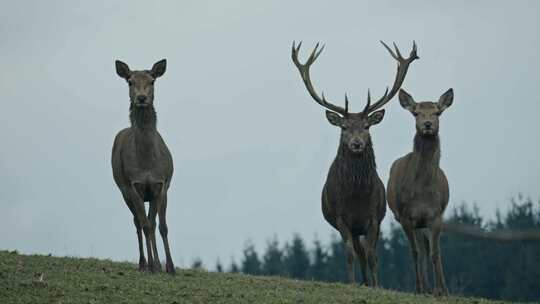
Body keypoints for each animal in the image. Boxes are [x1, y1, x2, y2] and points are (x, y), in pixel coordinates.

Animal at [111, 59, 175, 276]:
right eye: (130, 81)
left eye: (152, 81)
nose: (141, 98)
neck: (147, 163)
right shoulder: (134, 185)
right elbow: (145, 225)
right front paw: (152, 266)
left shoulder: (161, 185)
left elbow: (161, 226)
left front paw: (170, 267)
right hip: (123, 190)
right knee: (138, 223)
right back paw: (143, 263)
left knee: (150, 222)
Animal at [294, 41, 420, 286]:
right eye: (344, 127)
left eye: (366, 126)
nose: (356, 144)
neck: (356, 196)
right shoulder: (342, 219)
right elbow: (350, 254)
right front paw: (352, 283)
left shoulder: (373, 218)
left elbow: (372, 255)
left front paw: (377, 286)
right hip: (351, 229)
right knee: (358, 252)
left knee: (368, 253)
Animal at [386, 88, 454, 294]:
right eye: (416, 113)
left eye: (437, 112)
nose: (427, 125)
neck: (422, 193)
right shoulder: (406, 217)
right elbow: (415, 252)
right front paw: (419, 288)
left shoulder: (436, 216)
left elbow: (435, 252)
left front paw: (443, 290)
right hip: (413, 222)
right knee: (420, 250)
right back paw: (425, 287)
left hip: (423, 224)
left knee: (426, 249)